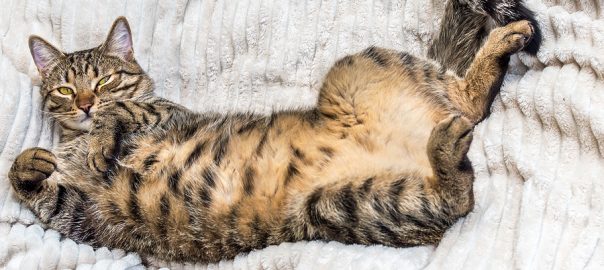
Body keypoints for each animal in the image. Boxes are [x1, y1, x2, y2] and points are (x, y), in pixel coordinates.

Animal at [8, 0, 536, 264]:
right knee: (458, 192)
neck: (72, 142)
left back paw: (497, 51)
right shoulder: (85, 216)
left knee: (469, 106)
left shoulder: (165, 113)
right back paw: (446, 149)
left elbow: (125, 112)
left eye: (105, 81)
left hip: (356, 65)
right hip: (348, 204)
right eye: (63, 89)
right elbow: (44, 193)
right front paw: (28, 164)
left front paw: (101, 134)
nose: (84, 104)